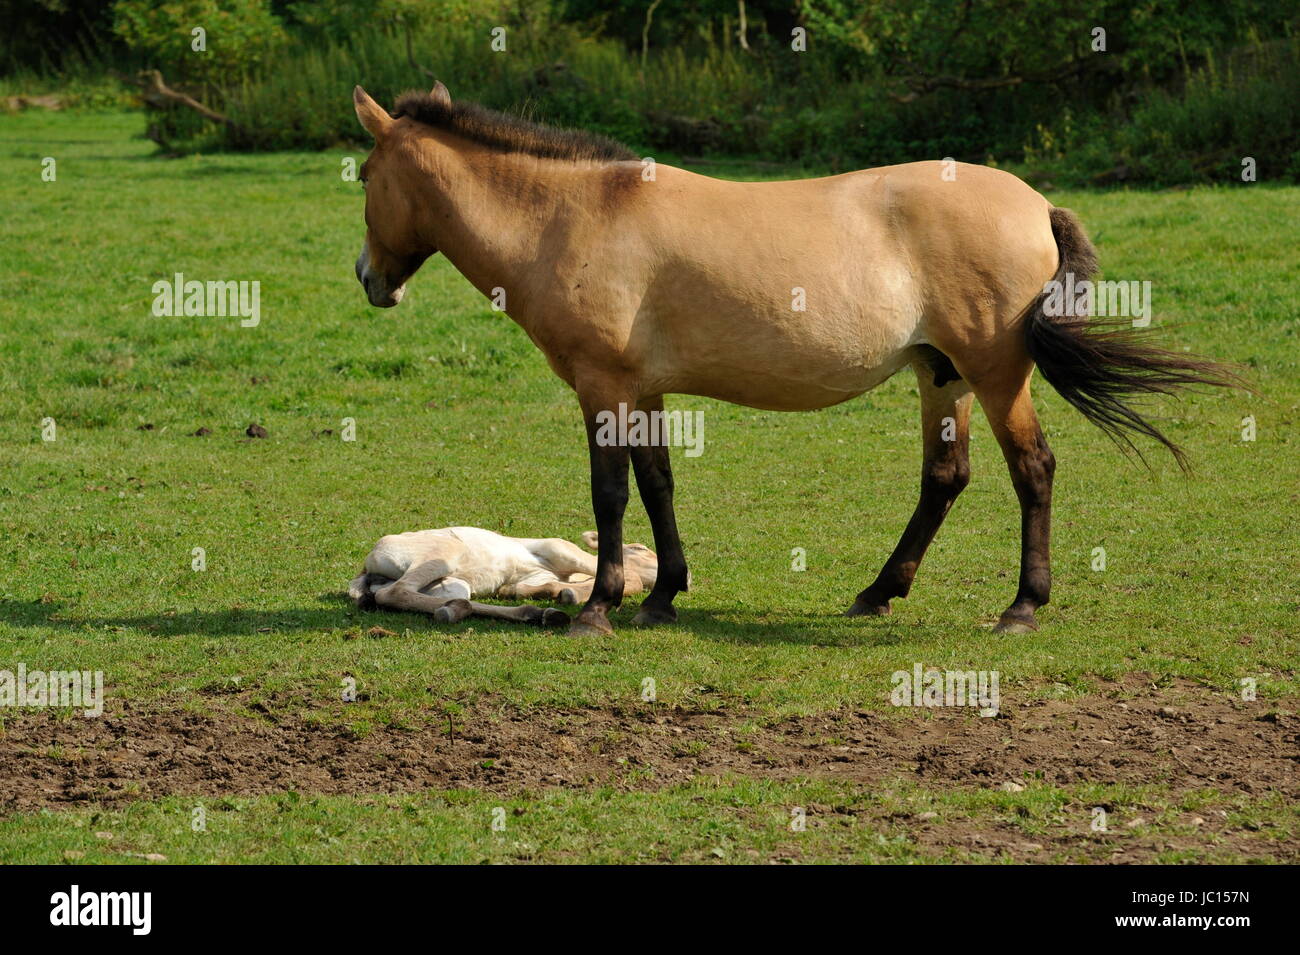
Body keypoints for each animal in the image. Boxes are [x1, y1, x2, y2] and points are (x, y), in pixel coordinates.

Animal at [349, 82, 1236, 637]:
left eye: (362, 177)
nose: (368, 278)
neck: (576, 215)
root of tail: (1035, 203)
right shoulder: (645, 389)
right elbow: (658, 485)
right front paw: (663, 595)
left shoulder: (603, 387)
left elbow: (610, 496)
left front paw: (598, 607)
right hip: (941, 374)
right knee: (945, 480)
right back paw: (879, 591)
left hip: (993, 375)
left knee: (1034, 469)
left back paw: (1022, 604)